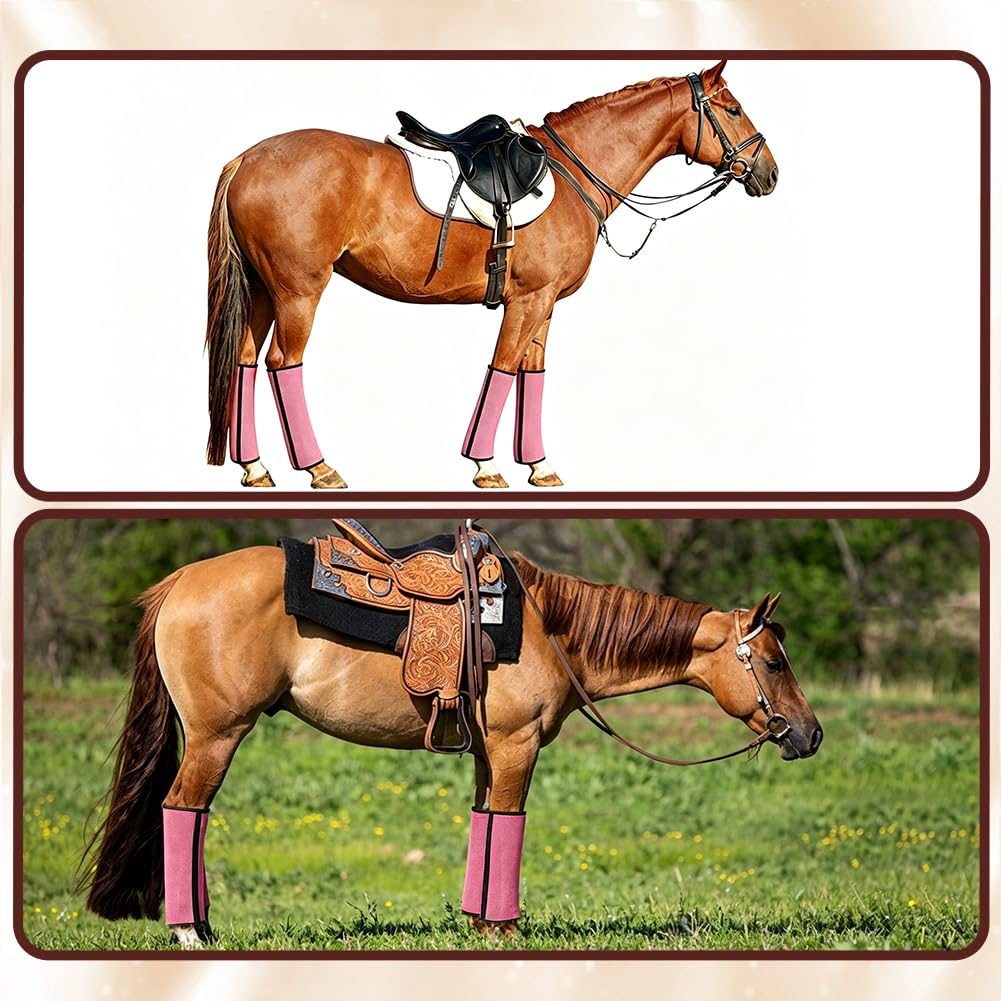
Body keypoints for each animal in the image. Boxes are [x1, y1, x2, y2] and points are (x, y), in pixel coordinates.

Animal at [81, 532, 822, 948]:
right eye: (773, 662)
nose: (810, 734)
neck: (547, 627)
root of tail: (180, 582)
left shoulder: (489, 751)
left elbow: (483, 824)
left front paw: (477, 921)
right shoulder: (518, 746)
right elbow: (510, 824)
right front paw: (507, 928)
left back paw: (203, 926)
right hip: (216, 735)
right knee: (184, 811)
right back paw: (188, 931)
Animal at [205, 60, 778, 490]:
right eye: (732, 109)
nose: (769, 172)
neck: (572, 175)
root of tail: (246, 159)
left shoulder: (546, 303)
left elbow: (532, 372)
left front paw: (540, 467)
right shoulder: (528, 299)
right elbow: (502, 368)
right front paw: (485, 465)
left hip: (261, 290)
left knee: (246, 359)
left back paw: (255, 468)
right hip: (299, 291)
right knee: (284, 363)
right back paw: (319, 467)